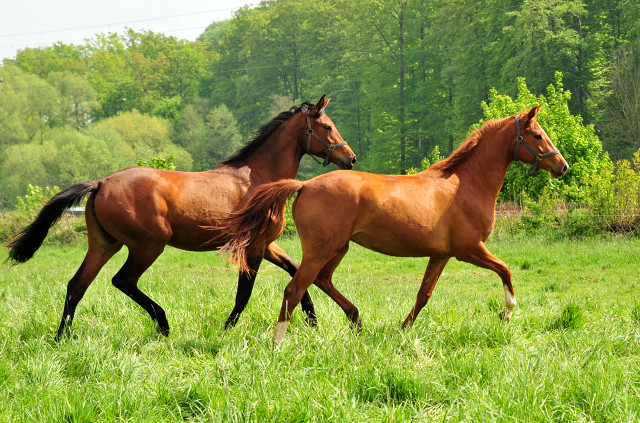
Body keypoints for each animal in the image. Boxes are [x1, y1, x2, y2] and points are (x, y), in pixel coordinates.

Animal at [5, 94, 356, 340]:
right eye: (327, 127)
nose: (350, 158)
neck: (258, 178)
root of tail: (102, 182)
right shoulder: (254, 247)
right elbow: (245, 293)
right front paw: (226, 330)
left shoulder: (268, 245)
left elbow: (296, 271)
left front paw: (312, 319)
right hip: (148, 245)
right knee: (122, 280)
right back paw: (163, 323)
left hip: (104, 244)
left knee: (77, 285)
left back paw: (61, 338)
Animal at [218, 106, 568, 344]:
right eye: (537, 135)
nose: (562, 166)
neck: (465, 184)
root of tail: (303, 185)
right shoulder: (470, 250)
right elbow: (506, 271)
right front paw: (506, 313)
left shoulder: (441, 255)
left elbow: (424, 294)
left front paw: (402, 329)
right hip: (321, 250)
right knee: (295, 288)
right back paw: (278, 342)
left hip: (338, 249)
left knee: (322, 281)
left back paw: (357, 321)